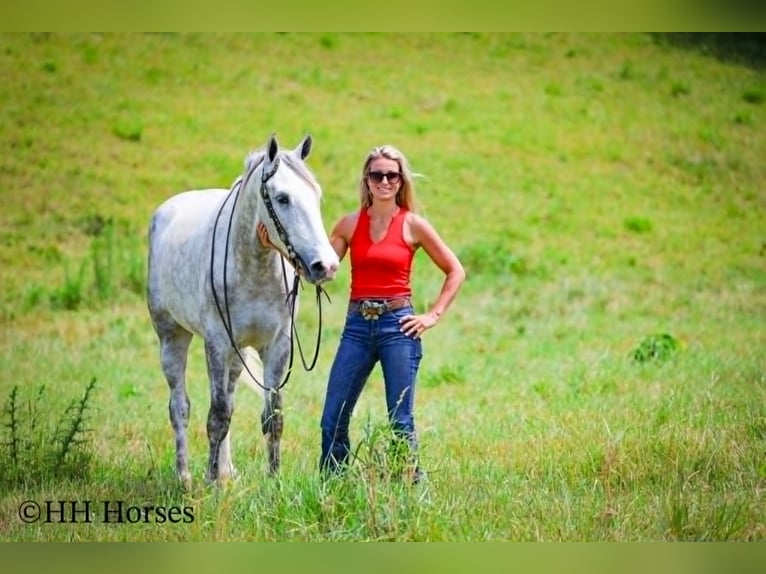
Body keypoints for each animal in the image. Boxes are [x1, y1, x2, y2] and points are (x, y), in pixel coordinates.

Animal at [146, 133, 339, 487]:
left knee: (231, 401)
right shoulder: (217, 344)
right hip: (172, 337)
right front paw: (210, 483)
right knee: (180, 407)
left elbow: (272, 416)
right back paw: (185, 477)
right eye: (282, 198)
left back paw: (228, 470)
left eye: (316, 196)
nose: (326, 266)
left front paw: (273, 480)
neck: (255, 266)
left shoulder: (277, 346)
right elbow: (216, 415)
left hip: (236, 358)